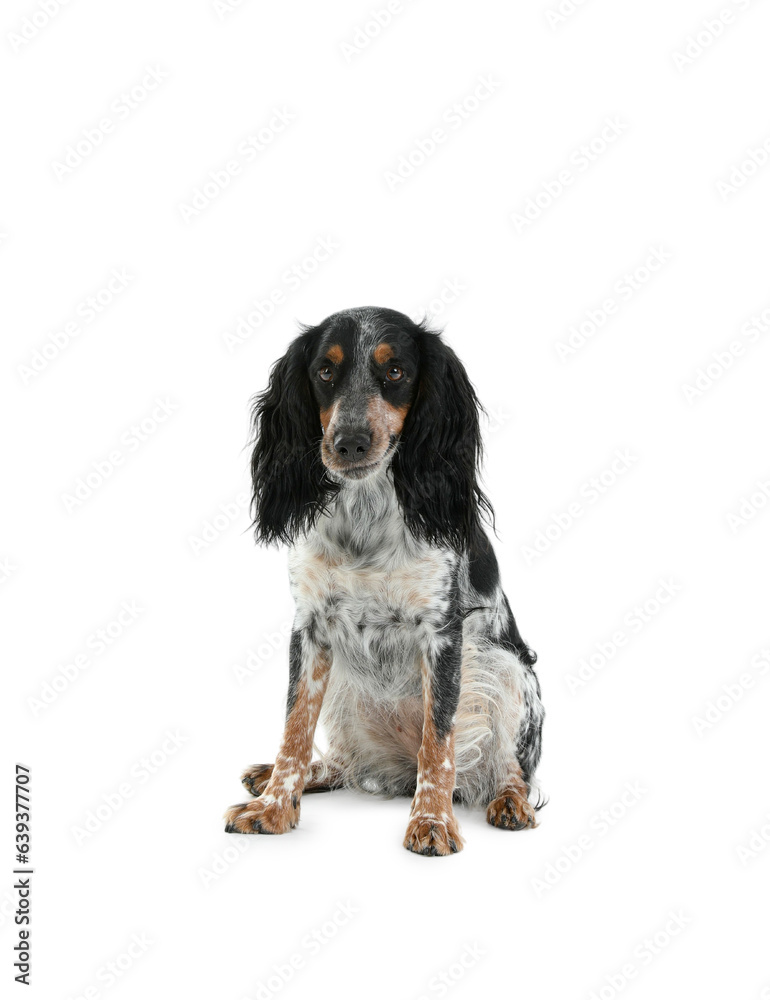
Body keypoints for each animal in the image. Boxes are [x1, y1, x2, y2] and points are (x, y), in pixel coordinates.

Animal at [225, 306, 544, 860]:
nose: (348, 441)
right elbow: (294, 729)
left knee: (507, 768)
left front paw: (432, 821)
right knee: (344, 763)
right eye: (325, 372)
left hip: (506, 668)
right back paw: (285, 776)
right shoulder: (309, 628)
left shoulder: (443, 634)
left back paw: (509, 802)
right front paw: (274, 807)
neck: (365, 515)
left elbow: (438, 744)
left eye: (396, 371)